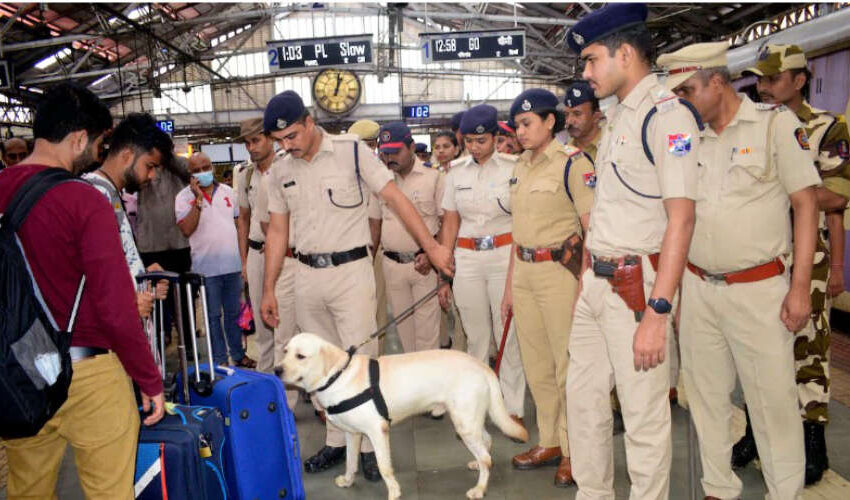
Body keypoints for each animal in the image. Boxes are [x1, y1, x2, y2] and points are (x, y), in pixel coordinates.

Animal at [282, 332, 528, 500]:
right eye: (285, 351)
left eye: (301, 356)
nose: (276, 370)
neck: (337, 376)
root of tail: (482, 366)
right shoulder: (352, 434)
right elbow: (351, 462)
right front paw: (348, 481)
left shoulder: (378, 431)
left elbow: (384, 467)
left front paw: (393, 491)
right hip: (469, 420)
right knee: (487, 442)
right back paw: (477, 465)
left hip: (464, 423)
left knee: (487, 457)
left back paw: (479, 489)